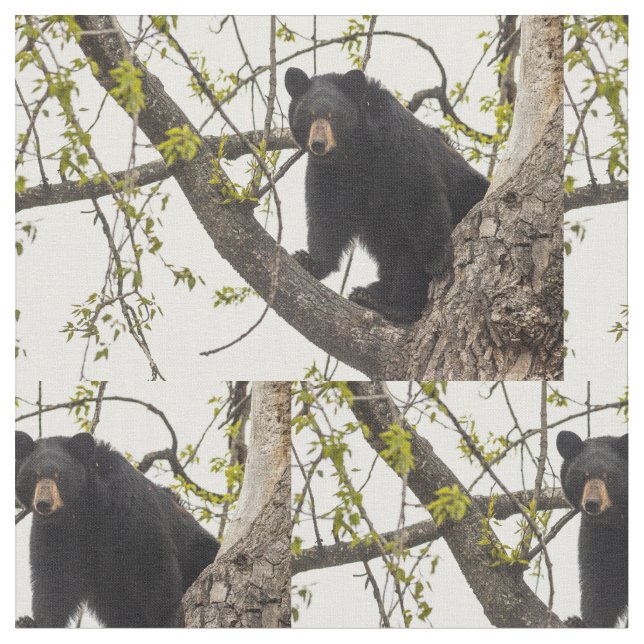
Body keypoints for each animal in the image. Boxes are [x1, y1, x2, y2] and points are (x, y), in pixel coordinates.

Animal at [15, 431, 220, 628]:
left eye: (60, 476)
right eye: (33, 475)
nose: (44, 503)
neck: (83, 510)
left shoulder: (128, 508)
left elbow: (153, 561)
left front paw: (166, 618)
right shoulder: (53, 531)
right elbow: (53, 577)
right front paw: (32, 622)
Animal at [285, 67, 490, 323]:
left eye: (333, 116)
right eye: (309, 116)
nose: (318, 144)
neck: (356, 154)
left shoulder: (399, 148)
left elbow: (421, 195)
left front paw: (436, 258)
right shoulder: (327, 173)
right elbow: (327, 216)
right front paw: (309, 260)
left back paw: (392, 305)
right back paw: (369, 293)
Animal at [556, 430, 628, 627]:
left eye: (608, 476)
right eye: (584, 476)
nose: (592, 503)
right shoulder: (598, 531)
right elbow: (601, 578)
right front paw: (579, 622)